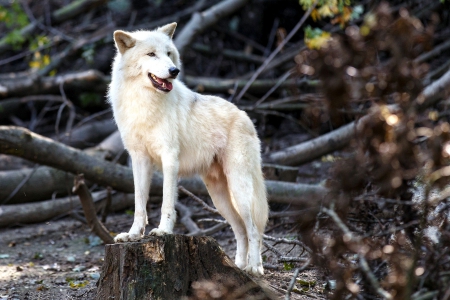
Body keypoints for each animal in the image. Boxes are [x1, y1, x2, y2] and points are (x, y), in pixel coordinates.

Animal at [109, 22, 268, 276]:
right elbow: (139, 204)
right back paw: (239, 267)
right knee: (241, 230)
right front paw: (133, 235)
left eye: (169, 53)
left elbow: (166, 202)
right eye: (151, 54)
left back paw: (254, 268)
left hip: (239, 190)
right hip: (219, 198)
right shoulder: (139, 160)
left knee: (254, 229)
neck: (144, 102)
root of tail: (245, 116)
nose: (174, 70)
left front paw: (163, 231)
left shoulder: (169, 158)